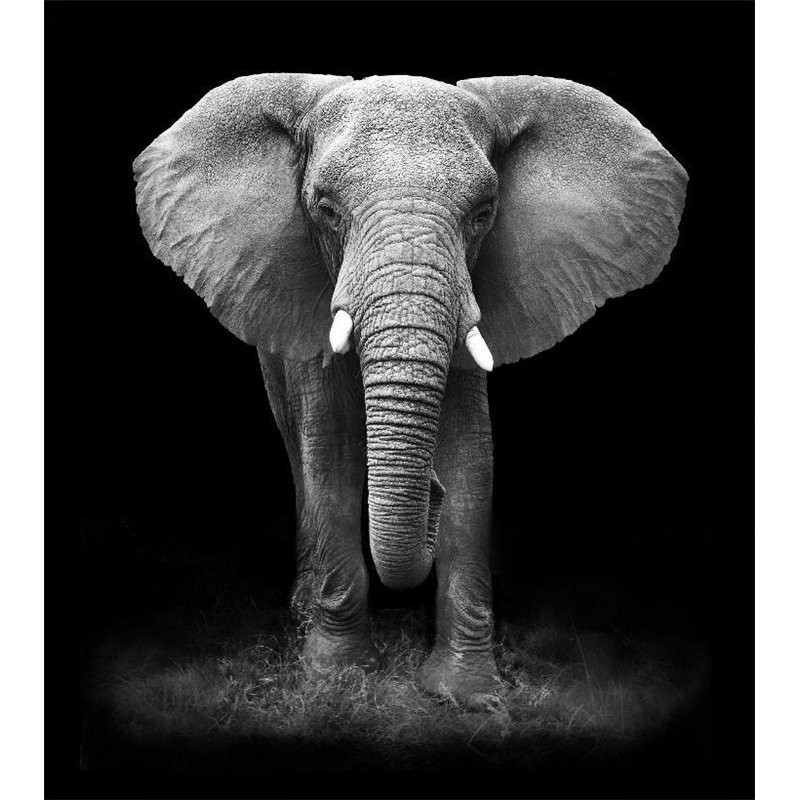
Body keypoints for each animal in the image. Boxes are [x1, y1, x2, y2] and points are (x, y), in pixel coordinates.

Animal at [133, 73, 687, 706]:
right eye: (325, 210)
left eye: (483, 213)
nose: (430, 493)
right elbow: (332, 455)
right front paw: (338, 676)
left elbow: (472, 458)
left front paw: (466, 693)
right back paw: (302, 612)